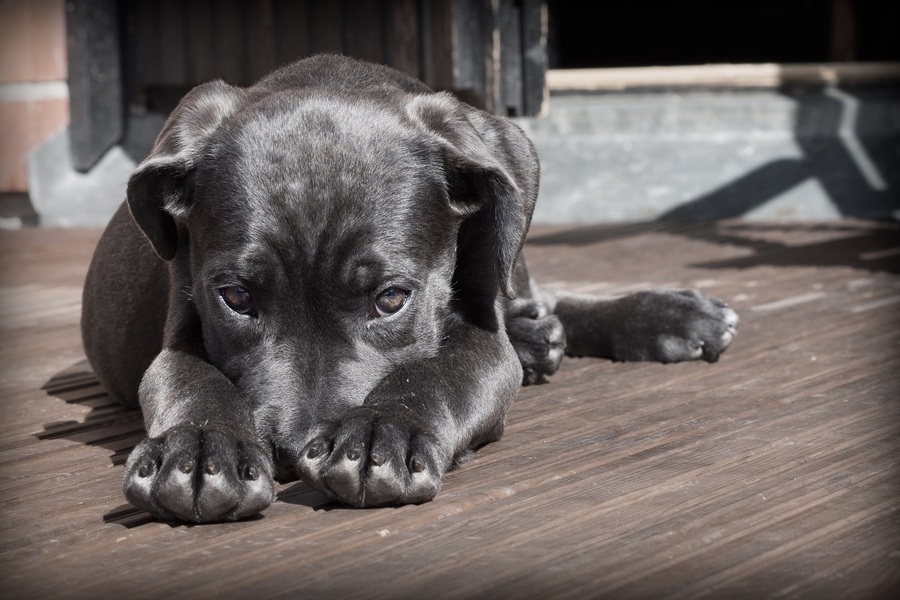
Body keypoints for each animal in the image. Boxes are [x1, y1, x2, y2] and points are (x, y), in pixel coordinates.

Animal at [81, 57, 736, 524]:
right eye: (236, 298)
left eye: (391, 299)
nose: (292, 452)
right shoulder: (181, 325)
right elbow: (189, 378)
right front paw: (198, 449)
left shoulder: (481, 337)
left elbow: (439, 371)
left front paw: (380, 433)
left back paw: (665, 316)